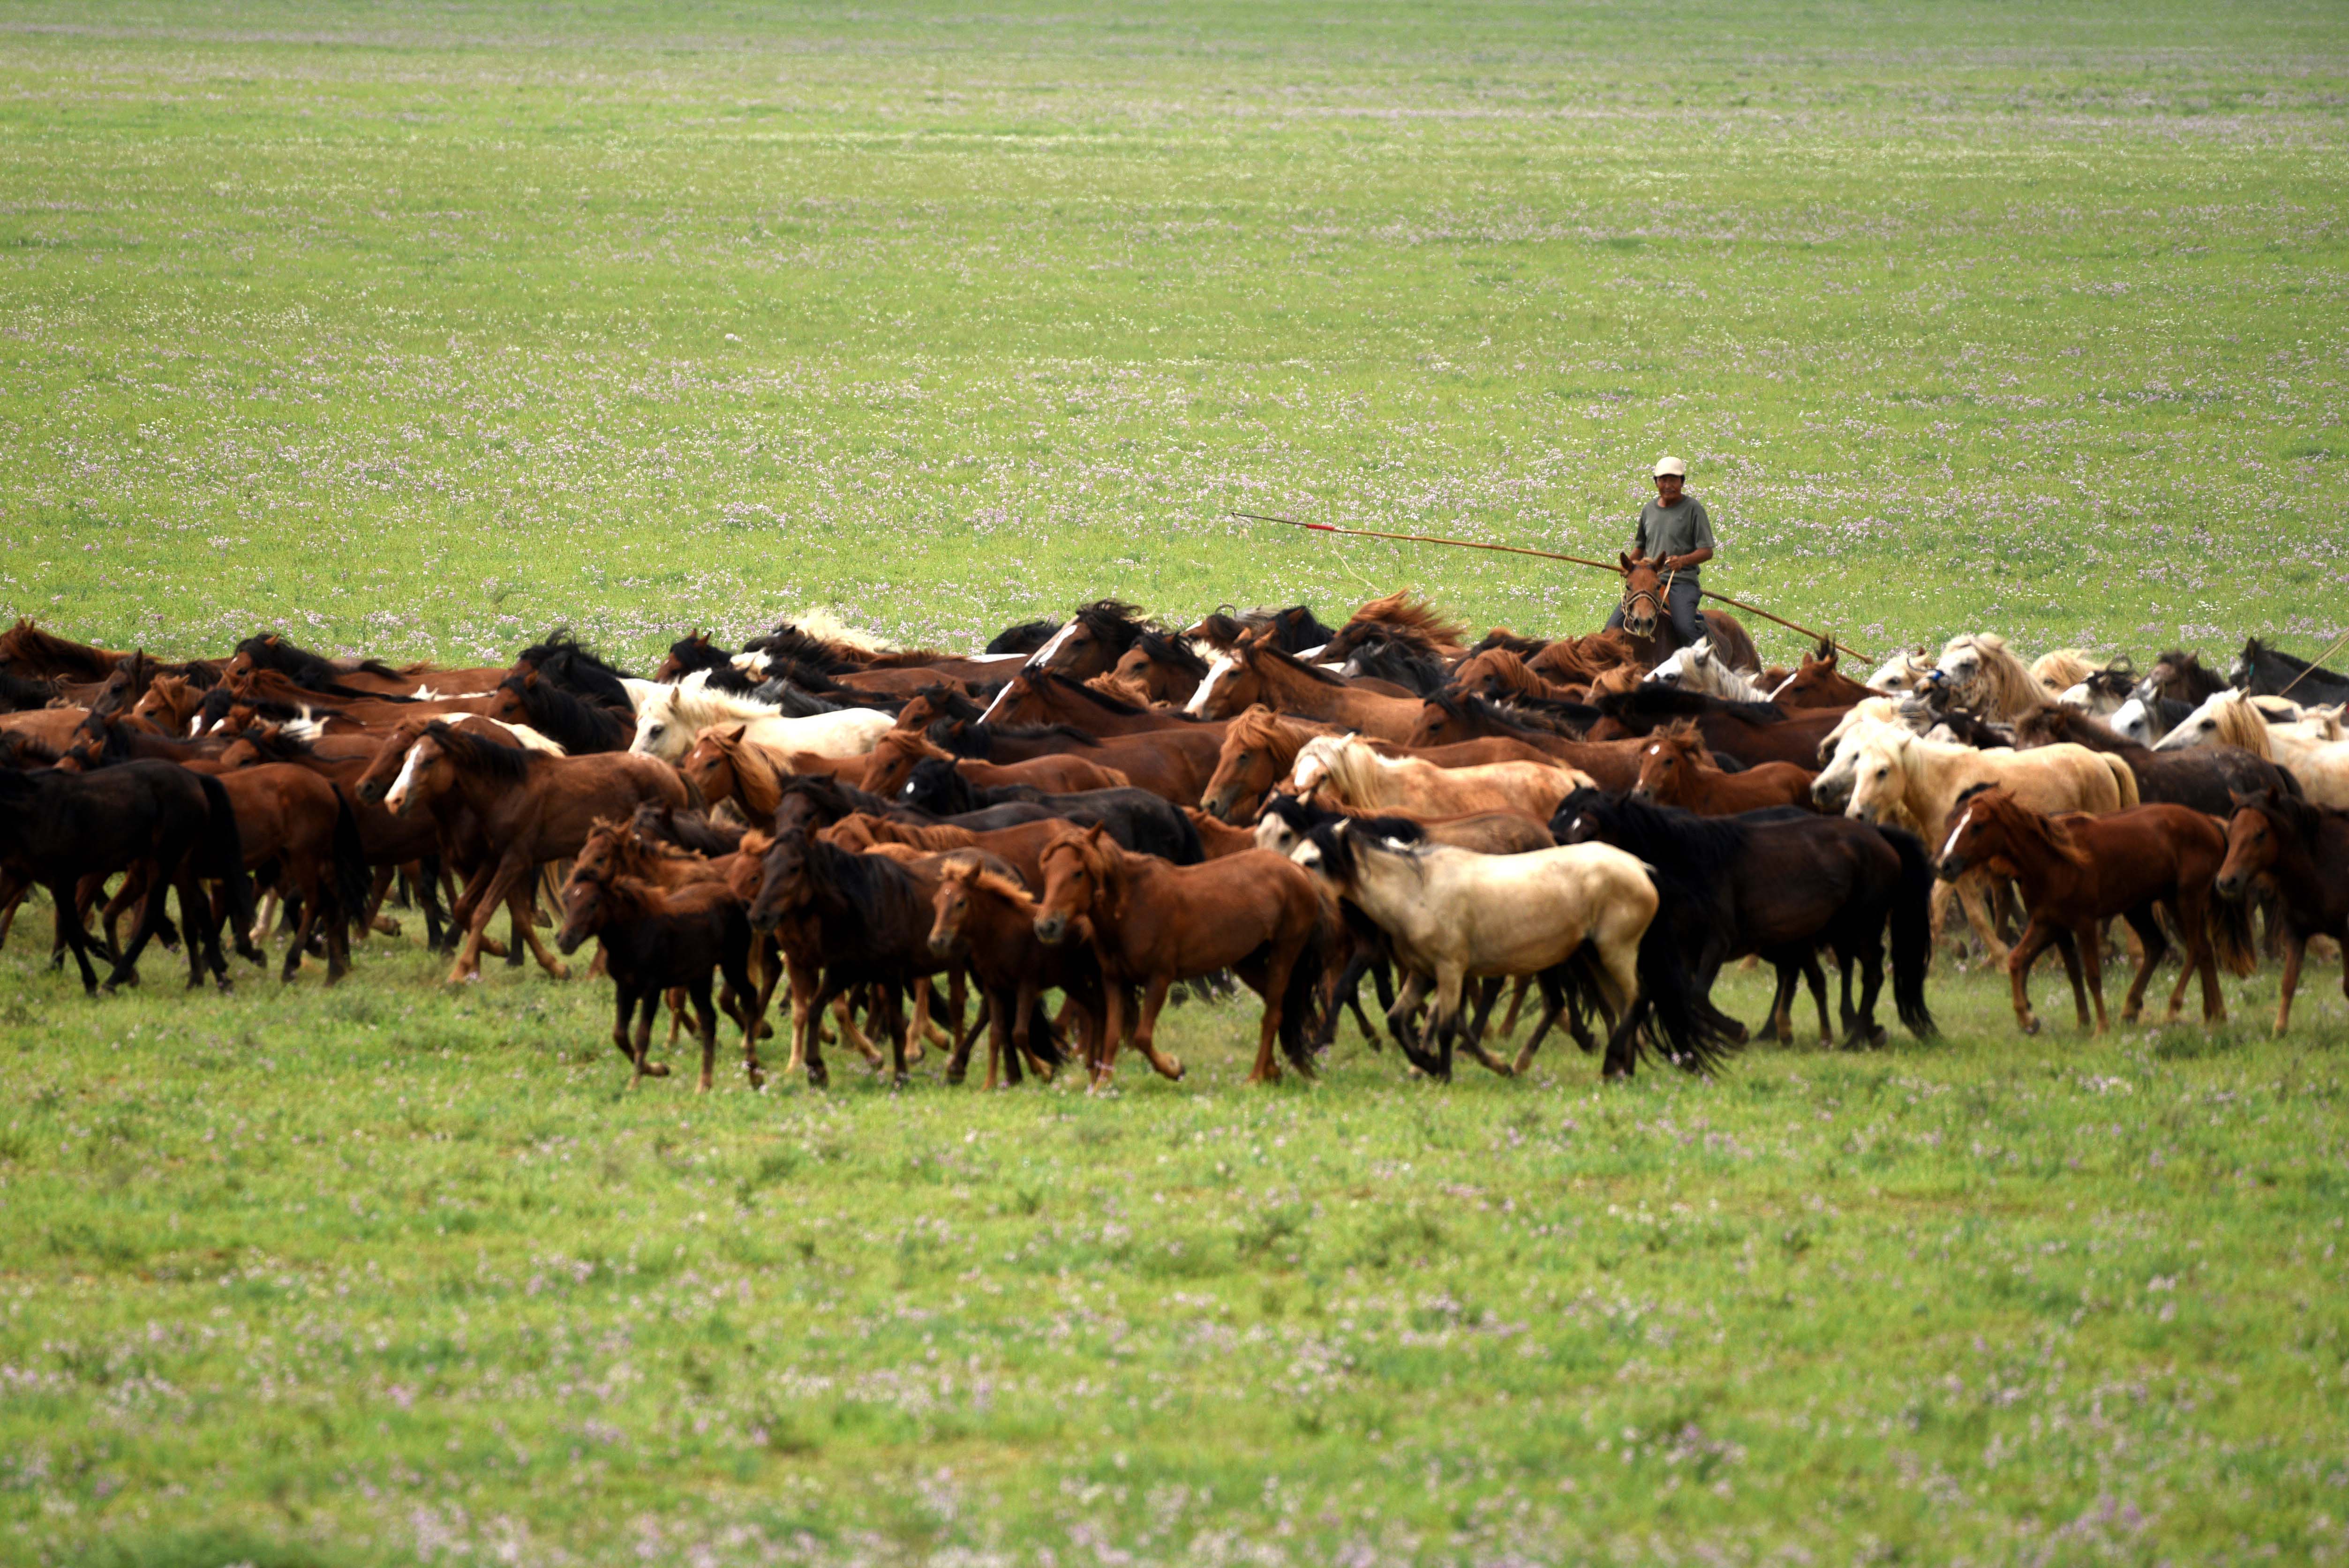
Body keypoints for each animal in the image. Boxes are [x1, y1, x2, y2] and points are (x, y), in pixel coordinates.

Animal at [1029, 821, 1325, 1089]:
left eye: (1078, 873)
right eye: (1046, 871)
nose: (1046, 926)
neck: (1132, 906)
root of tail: (1297, 871)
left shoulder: (1159, 979)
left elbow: (1142, 1037)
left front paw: (1174, 1068)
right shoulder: (1114, 980)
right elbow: (1112, 1035)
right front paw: (1102, 1087)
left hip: (1284, 953)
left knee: (1273, 1015)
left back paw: (1254, 1078)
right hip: (1248, 962)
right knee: (1279, 1008)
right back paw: (1271, 1071)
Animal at [1550, 788, 1935, 1047]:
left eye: (1592, 829)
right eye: (1564, 828)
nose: (1568, 870)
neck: (1687, 863)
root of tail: (1879, 836)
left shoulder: (1717, 941)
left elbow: (1698, 994)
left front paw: (1737, 1030)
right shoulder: (1686, 947)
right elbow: (1689, 994)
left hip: (1862, 926)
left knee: (1872, 972)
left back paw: (1855, 1037)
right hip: (1838, 931)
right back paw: (1863, 1030)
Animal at [1926, 788, 2255, 1033]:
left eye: (1977, 826)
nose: (1945, 864)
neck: (2054, 861)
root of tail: (2209, 823)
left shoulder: (2083, 923)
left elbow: (2092, 974)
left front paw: (2100, 1027)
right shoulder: (2050, 924)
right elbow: (2027, 962)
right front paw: (2040, 1019)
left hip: (2184, 898)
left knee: (2197, 948)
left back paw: (2175, 1008)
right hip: (2141, 907)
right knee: (2171, 947)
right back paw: (2207, 1014)